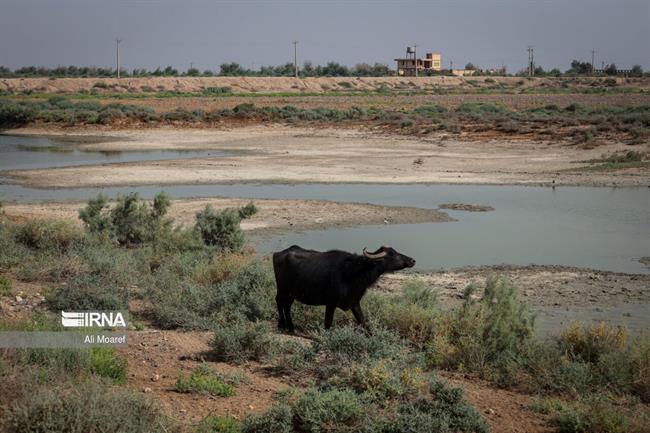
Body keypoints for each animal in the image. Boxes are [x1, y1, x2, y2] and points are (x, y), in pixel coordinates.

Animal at [270, 243, 412, 330]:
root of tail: (278, 253)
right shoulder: (330, 303)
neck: (353, 273)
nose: (412, 260)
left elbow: (363, 322)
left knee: (287, 305)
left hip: (291, 293)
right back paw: (282, 325)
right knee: (279, 301)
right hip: (282, 289)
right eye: (392, 254)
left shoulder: (354, 303)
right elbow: (328, 323)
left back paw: (291, 327)